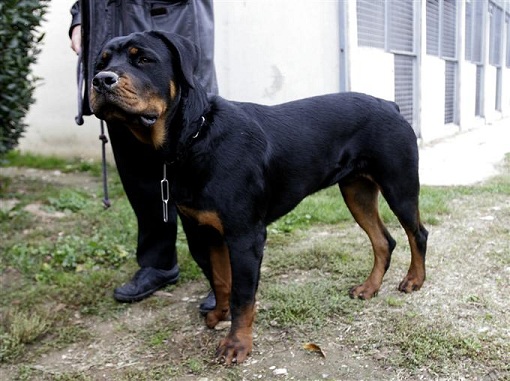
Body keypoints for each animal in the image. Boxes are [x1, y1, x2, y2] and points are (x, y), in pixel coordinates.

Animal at [89, 31, 428, 364]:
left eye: (144, 59)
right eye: (100, 63)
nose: (101, 80)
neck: (195, 138)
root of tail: (391, 105)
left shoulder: (245, 235)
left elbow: (243, 294)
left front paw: (236, 344)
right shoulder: (203, 231)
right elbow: (220, 279)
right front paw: (219, 314)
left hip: (399, 184)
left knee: (417, 233)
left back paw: (414, 280)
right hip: (356, 191)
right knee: (384, 240)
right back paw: (369, 287)